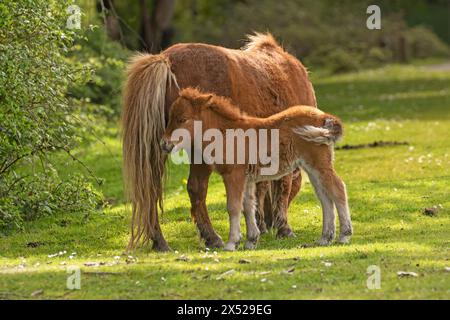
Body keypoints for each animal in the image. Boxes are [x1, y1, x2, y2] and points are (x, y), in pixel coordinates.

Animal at [122, 33, 316, 251]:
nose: (269, 223)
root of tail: (165, 60)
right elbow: (283, 185)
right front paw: (284, 228)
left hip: (158, 148)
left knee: (152, 190)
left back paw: (160, 241)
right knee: (196, 188)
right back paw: (212, 237)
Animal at [160, 87, 354, 250]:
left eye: (182, 119)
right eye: (169, 118)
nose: (164, 144)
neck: (225, 134)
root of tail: (324, 116)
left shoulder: (233, 175)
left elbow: (233, 206)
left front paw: (232, 243)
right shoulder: (246, 179)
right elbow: (248, 206)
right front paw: (251, 241)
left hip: (319, 164)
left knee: (337, 188)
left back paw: (344, 235)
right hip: (311, 168)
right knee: (324, 196)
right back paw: (325, 238)